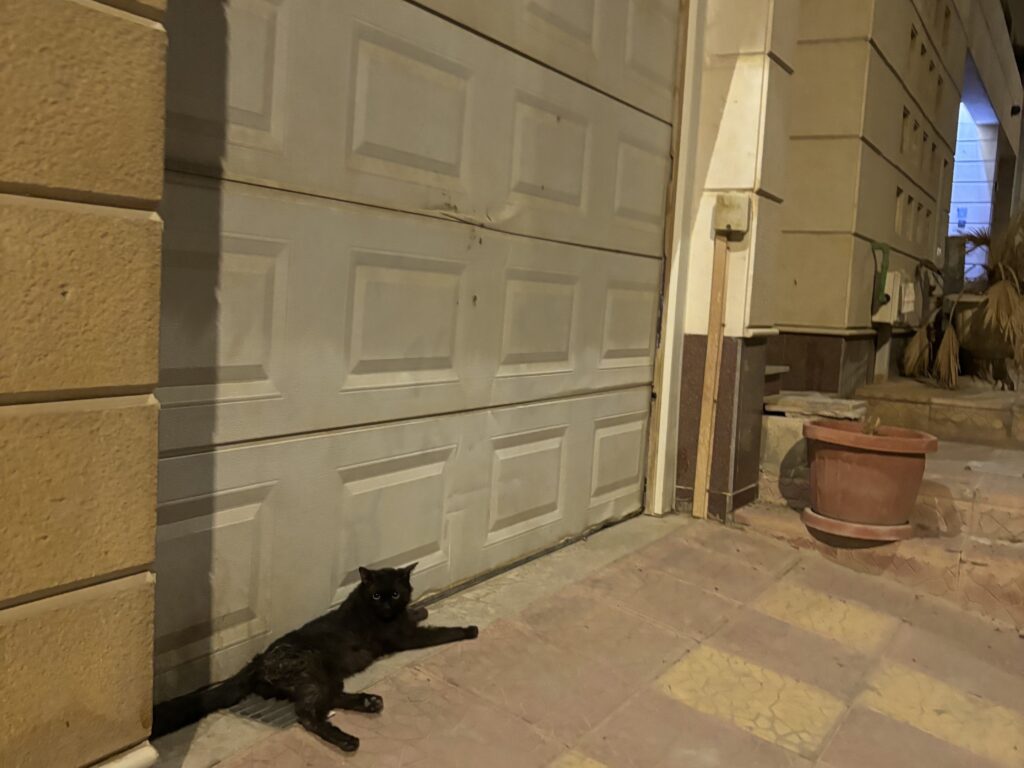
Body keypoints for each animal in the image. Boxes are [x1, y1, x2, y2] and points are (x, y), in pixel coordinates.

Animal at [151, 563, 478, 752]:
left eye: (395, 594)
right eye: (376, 596)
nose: (386, 606)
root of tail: (257, 661)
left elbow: (415, 614)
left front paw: (420, 609)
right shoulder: (405, 637)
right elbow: (439, 633)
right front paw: (468, 630)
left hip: (328, 678)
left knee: (329, 701)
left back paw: (370, 702)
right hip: (315, 674)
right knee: (307, 715)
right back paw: (347, 740)